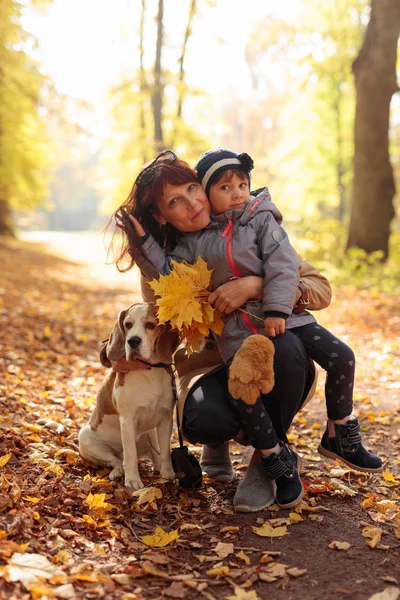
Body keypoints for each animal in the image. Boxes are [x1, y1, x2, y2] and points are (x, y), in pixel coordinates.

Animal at [78, 302, 178, 490]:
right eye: (128, 325)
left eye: (150, 325)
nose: (132, 341)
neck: (151, 371)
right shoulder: (128, 419)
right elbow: (130, 454)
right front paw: (132, 480)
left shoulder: (166, 419)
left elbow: (166, 452)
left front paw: (168, 475)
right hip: (85, 437)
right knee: (117, 460)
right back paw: (118, 471)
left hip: (150, 435)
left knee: (153, 455)